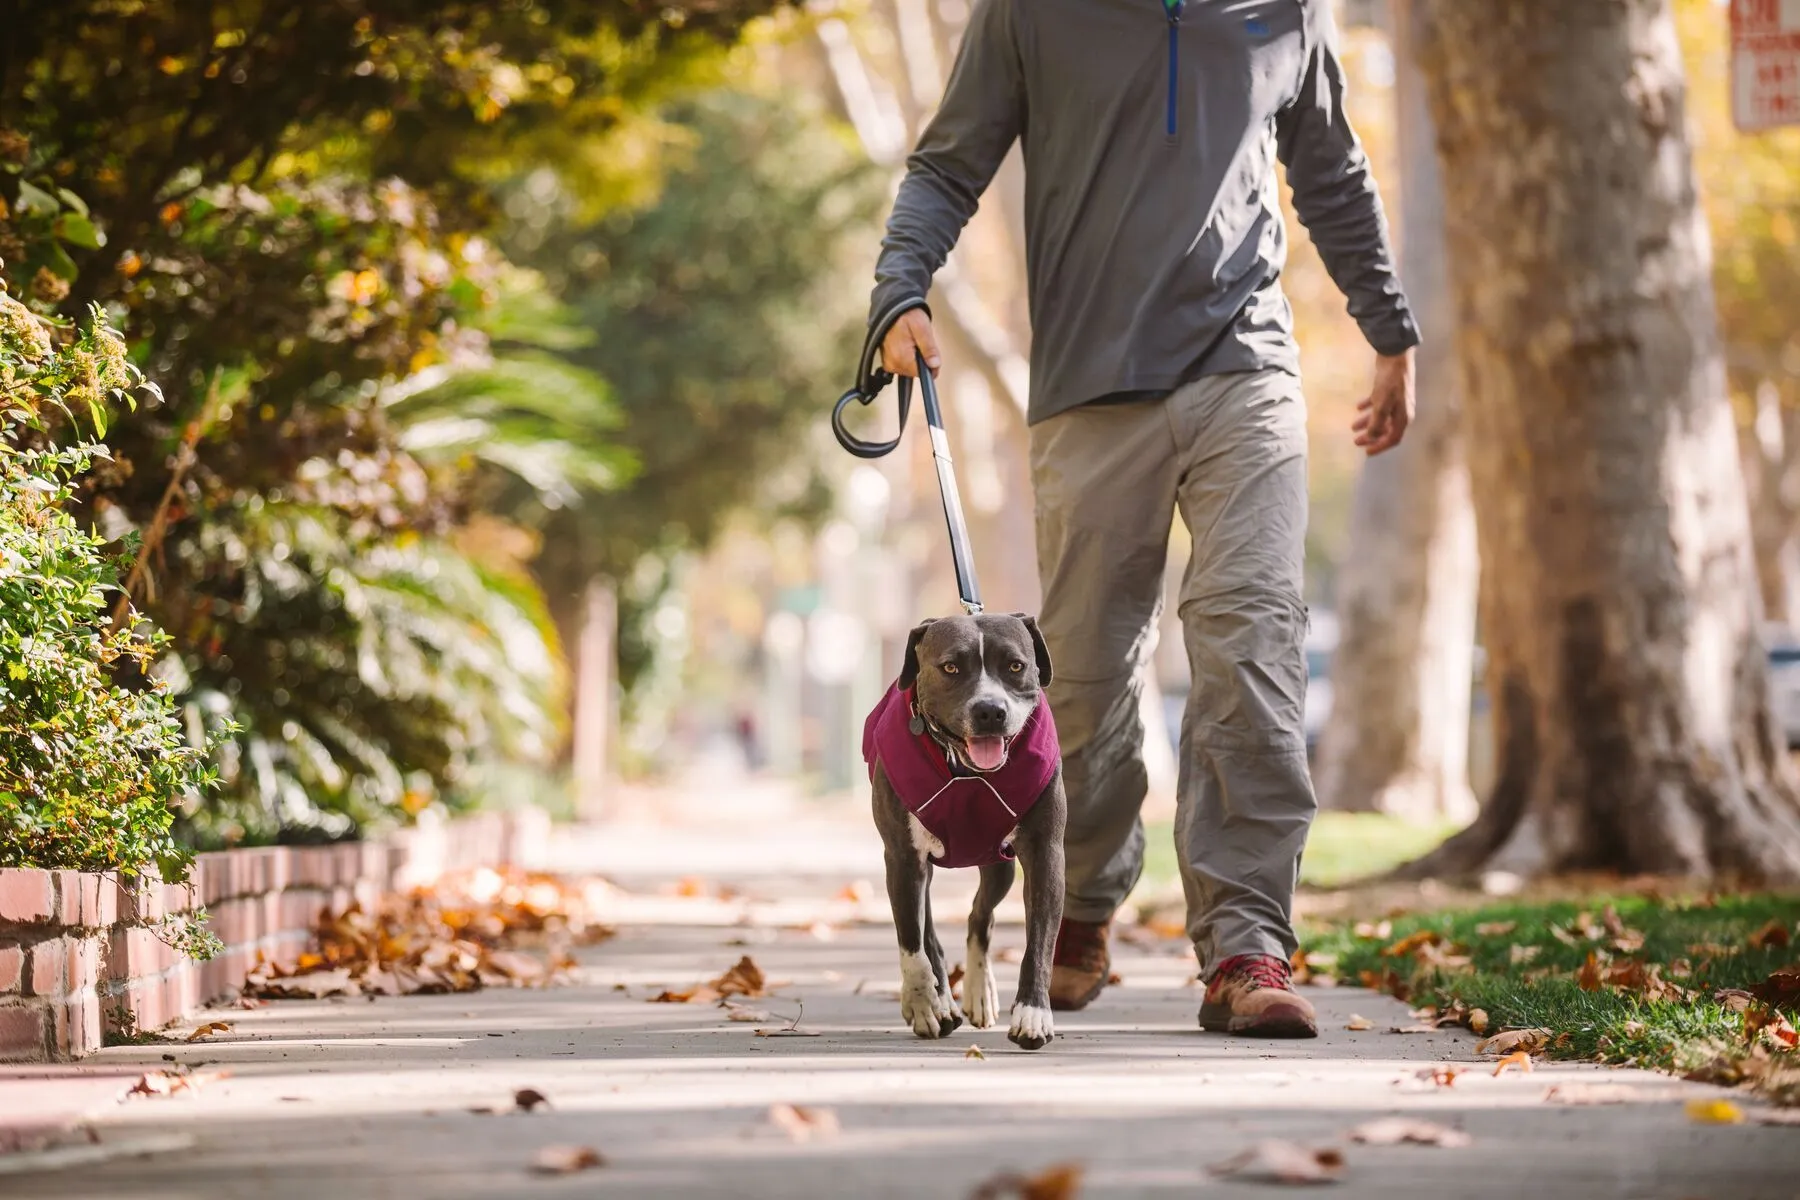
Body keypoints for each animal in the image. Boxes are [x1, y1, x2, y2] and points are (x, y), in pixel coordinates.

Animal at [871, 615, 1065, 1057]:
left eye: (1015, 666)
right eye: (951, 668)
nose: (990, 710)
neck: (968, 774)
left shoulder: (1046, 853)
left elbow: (1040, 941)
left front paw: (1033, 1016)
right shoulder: (902, 858)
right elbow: (913, 942)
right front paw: (924, 1003)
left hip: (998, 868)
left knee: (980, 916)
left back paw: (979, 991)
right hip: (920, 870)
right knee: (929, 931)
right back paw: (940, 1002)